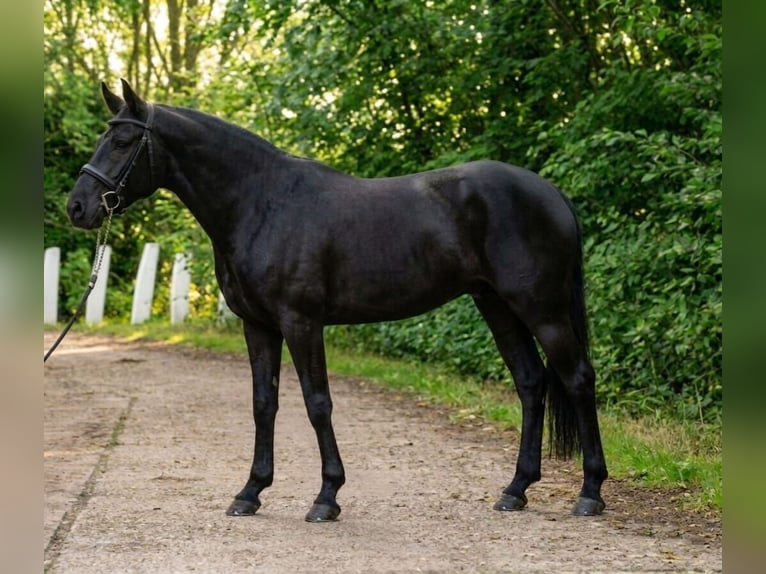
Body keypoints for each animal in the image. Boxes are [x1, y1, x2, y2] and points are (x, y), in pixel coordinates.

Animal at [67, 80, 607, 522]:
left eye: (122, 141)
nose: (78, 207)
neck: (260, 202)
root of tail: (552, 193)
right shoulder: (257, 325)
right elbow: (264, 403)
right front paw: (250, 492)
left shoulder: (301, 322)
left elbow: (317, 403)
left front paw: (327, 496)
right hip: (496, 305)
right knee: (531, 383)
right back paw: (516, 489)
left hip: (542, 309)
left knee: (578, 379)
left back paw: (590, 493)